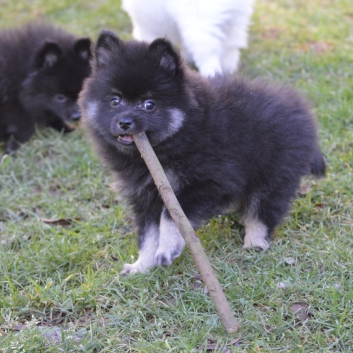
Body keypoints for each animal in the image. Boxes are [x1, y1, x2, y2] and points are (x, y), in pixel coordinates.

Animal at [0, 22, 91, 152]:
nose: (77, 116)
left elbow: (52, 114)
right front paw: (12, 148)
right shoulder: (15, 107)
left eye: (81, 94)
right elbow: (24, 126)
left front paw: (66, 130)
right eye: (60, 97)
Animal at [78, 30, 324, 274]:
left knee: (263, 210)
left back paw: (255, 241)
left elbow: (171, 217)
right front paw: (142, 266)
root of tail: (303, 113)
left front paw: (167, 248)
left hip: (273, 174)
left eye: (149, 104)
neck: (181, 134)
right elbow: (148, 235)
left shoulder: (207, 183)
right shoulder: (145, 197)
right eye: (115, 101)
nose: (125, 122)